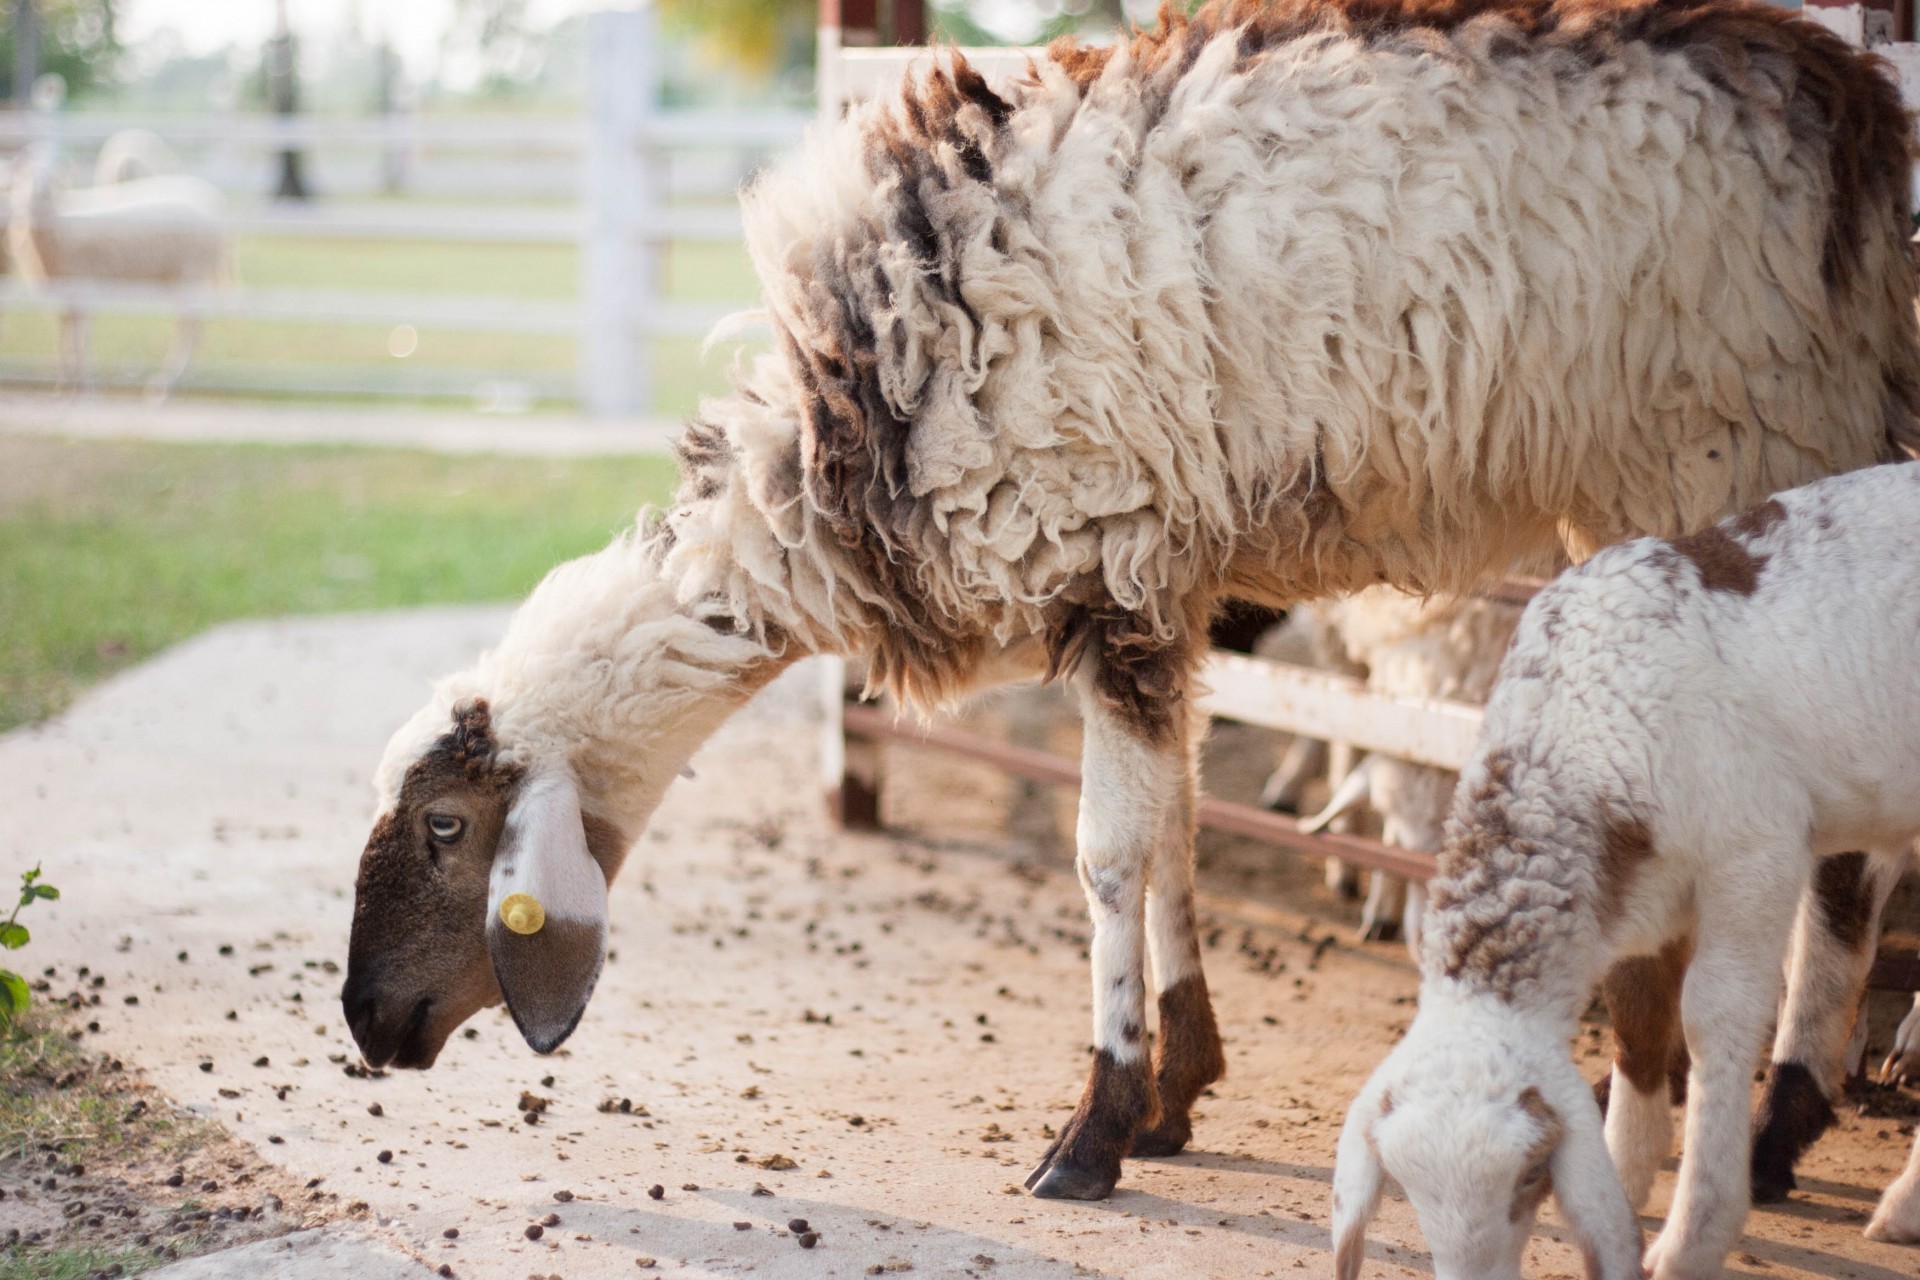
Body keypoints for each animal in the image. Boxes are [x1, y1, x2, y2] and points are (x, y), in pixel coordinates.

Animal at [1328, 462, 1920, 1280]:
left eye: (1529, 1180)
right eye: (1406, 1192)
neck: (1582, 725)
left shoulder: (1757, 852)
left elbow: (1712, 1016)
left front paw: (1691, 1237)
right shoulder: (1646, 886)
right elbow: (1638, 1020)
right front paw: (1626, 1178)